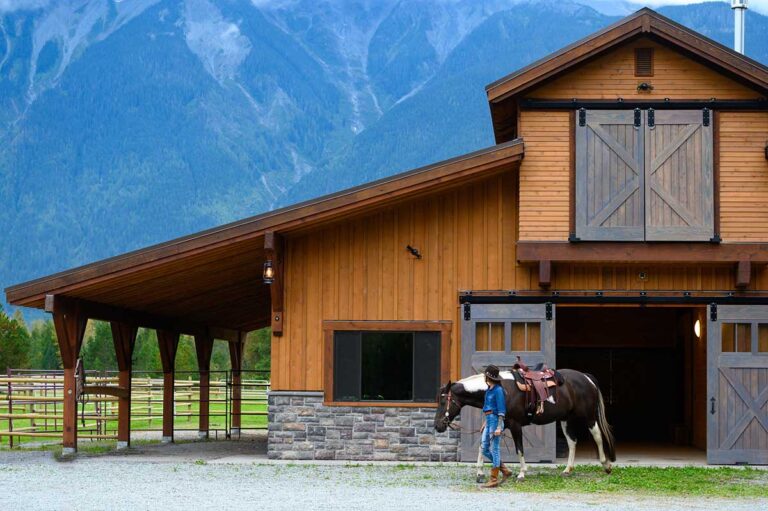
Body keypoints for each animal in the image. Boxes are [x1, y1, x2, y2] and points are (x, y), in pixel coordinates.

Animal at [436, 370, 616, 482]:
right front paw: (480, 473)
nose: (437, 426)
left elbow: (519, 449)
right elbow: (482, 445)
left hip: (589, 417)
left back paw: (606, 465)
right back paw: (567, 470)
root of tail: (586, 378)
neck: (501, 390)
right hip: (566, 419)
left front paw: (522, 473)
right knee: (572, 442)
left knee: (598, 436)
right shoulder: (498, 423)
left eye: (444, 401)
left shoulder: (515, 425)